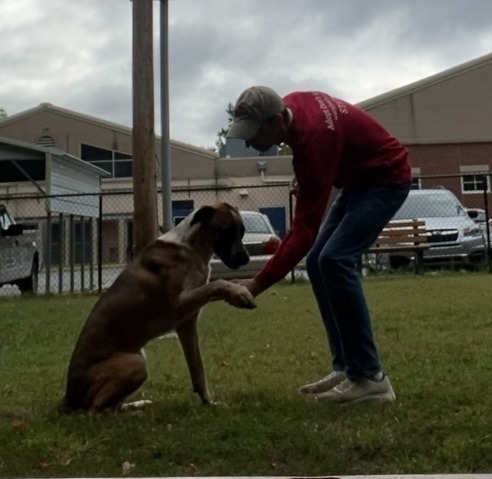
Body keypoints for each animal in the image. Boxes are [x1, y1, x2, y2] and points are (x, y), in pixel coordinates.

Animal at [63, 202, 256, 412]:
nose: (245, 258)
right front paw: (239, 292)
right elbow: (217, 283)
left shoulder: (187, 323)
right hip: (136, 363)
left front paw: (208, 402)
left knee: (111, 406)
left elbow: (197, 369)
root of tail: (68, 401)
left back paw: (137, 405)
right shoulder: (179, 304)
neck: (191, 247)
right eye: (227, 231)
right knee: (96, 410)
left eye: (242, 232)